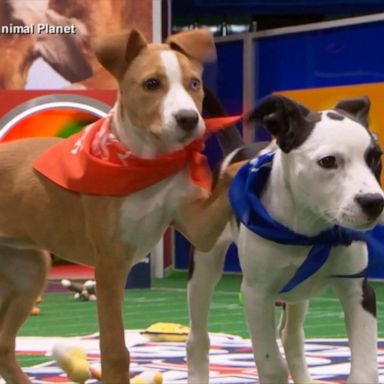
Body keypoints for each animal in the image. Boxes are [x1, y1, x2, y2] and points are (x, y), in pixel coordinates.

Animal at [0, 28, 231, 382]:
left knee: (2, 343)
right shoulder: (110, 263)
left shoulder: (199, 227)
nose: (189, 119)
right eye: (152, 84)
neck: (147, 165)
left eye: (194, 83)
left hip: (28, 270)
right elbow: (114, 351)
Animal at [188, 94, 382, 384]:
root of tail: (237, 150)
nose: (374, 203)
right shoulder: (256, 294)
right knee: (197, 338)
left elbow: (365, 370)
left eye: (375, 158)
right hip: (204, 266)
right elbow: (272, 366)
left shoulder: (357, 290)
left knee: (291, 336)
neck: (309, 232)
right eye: (328, 161)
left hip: (298, 291)